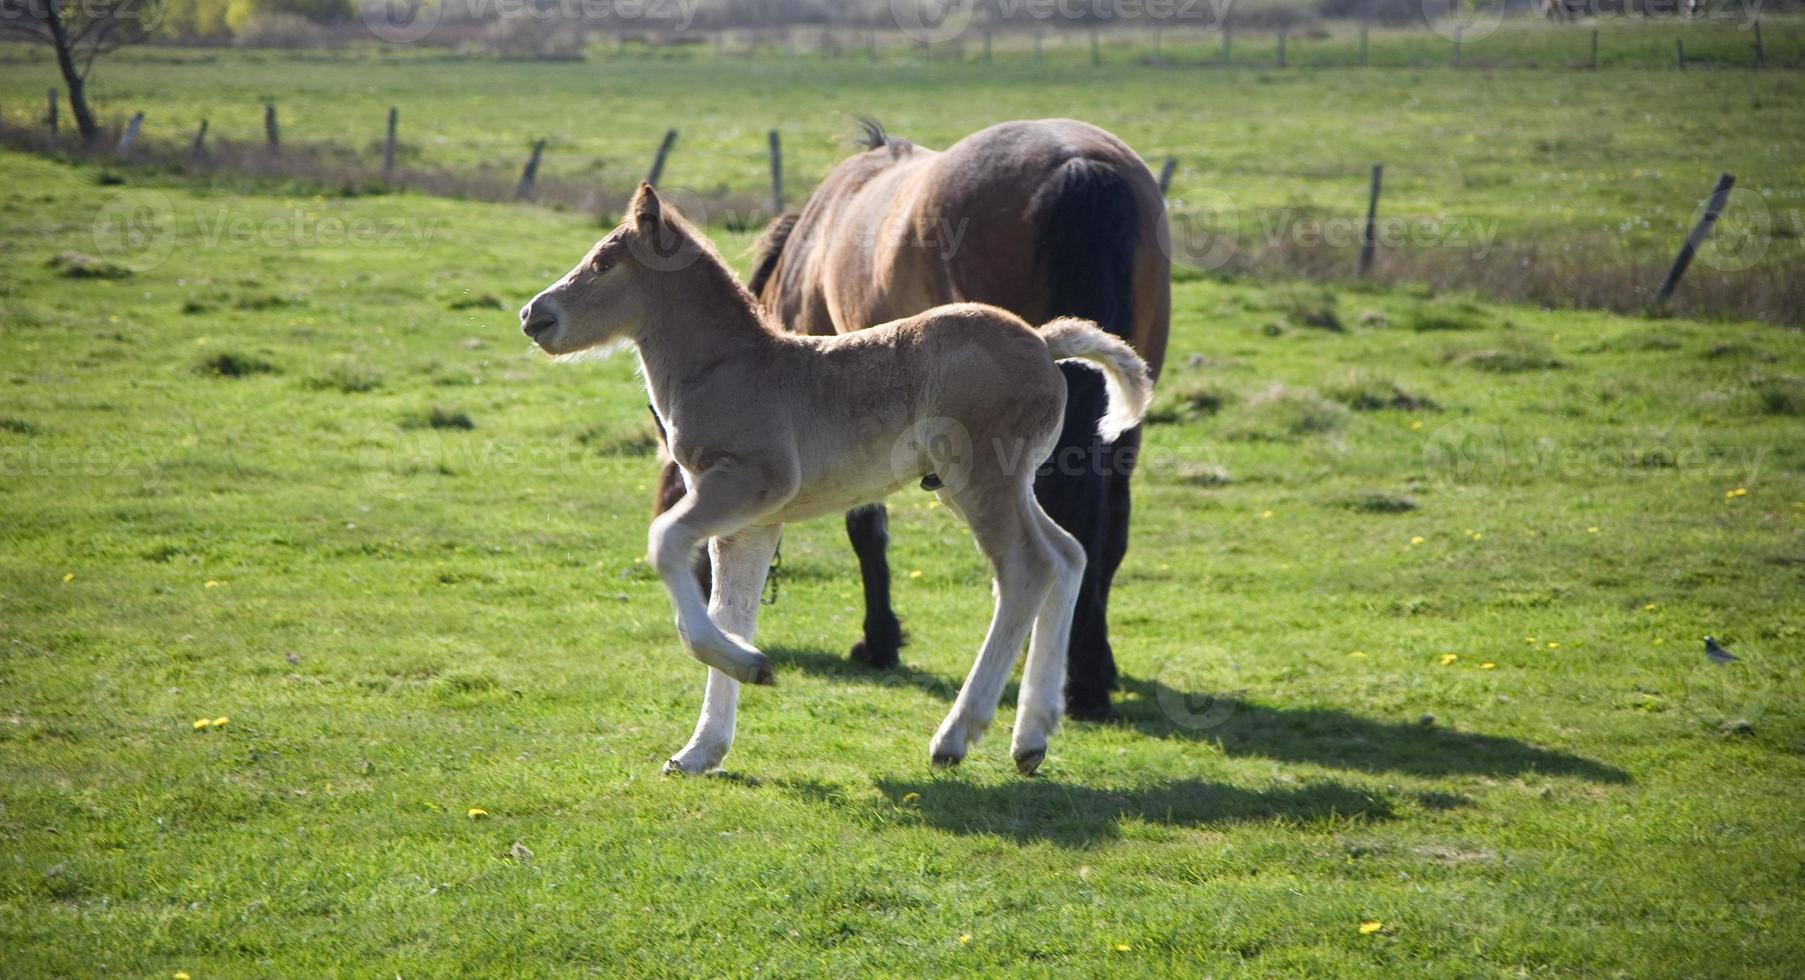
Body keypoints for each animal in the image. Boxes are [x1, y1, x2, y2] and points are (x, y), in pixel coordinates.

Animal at [516, 184, 1147, 779]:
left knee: (1026, 570)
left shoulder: (750, 484)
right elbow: (731, 609)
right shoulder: (750, 526)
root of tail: (1042, 341)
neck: (731, 369)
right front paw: (701, 750)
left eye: (603, 263)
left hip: (982, 480)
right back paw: (1032, 737)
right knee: (1067, 555)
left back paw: (957, 736)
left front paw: (754, 666)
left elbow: (667, 545)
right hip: (983, 486)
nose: (533, 315)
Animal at [657, 119, 1162, 721]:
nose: (701, 584)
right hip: (1123, 412)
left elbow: (865, 527)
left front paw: (879, 640)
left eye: (680, 485)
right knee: (1107, 529)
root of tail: (1075, 165)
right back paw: (1088, 673)